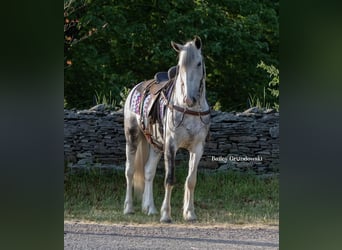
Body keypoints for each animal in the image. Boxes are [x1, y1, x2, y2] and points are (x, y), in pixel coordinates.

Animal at [121, 35, 210, 223]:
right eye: (180, 65)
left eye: (199, 63)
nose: (189, 99)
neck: (189, 109)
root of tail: (136, 88)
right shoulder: (171, 146)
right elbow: (169, 180)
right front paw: (166, 215)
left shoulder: (197, 148)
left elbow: (191, 180)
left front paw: (190, 213)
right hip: (132, 137)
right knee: (129, 172)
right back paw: (129, 208)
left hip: (155, 145)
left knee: (148, 172)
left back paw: (150, 208)